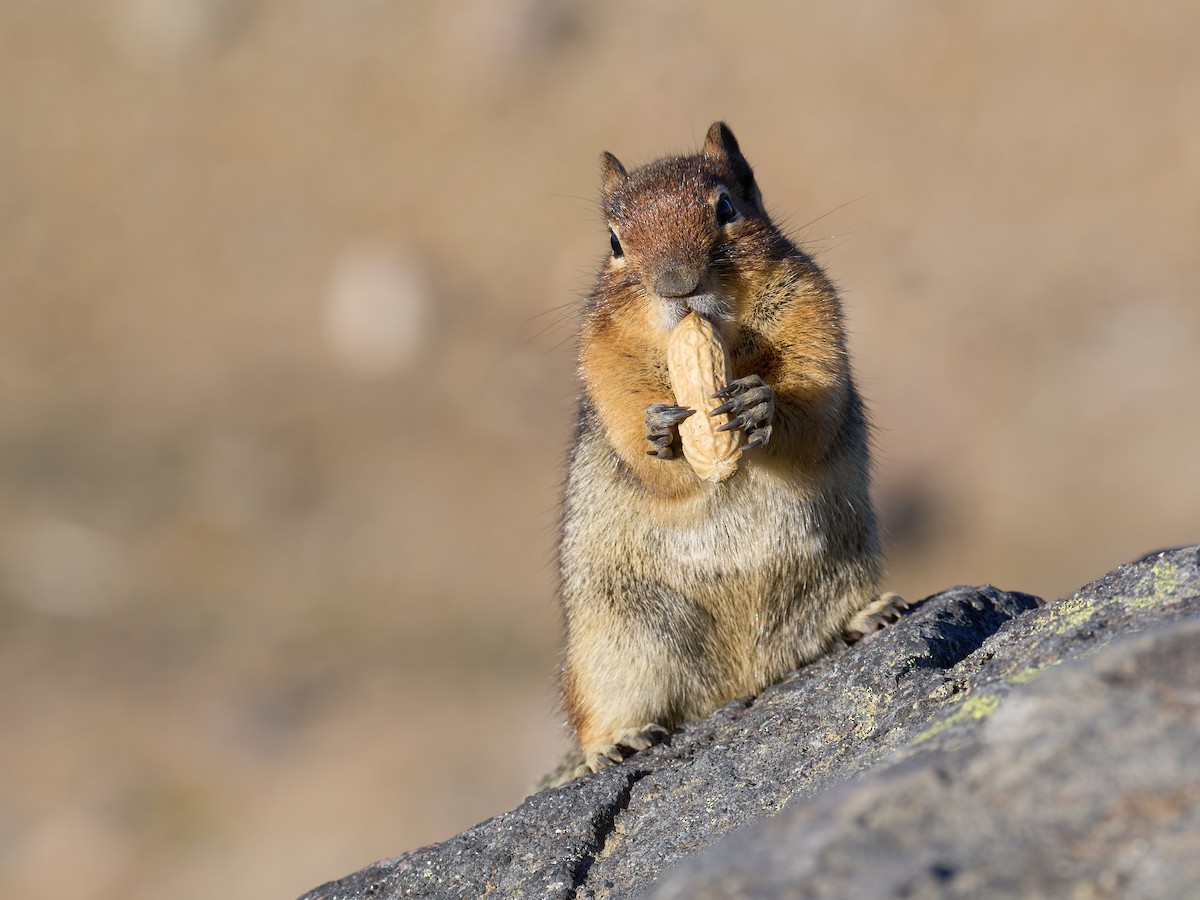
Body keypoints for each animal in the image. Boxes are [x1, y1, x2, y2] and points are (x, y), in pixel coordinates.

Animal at [544, 122, 903, 788]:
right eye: (614, 241)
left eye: (727, 208)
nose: (676, 285)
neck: (719, 340)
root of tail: (741, 683)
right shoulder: (604, 359)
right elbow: (636, 436)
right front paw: (660, 432)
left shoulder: (811, 311)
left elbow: (814, 399)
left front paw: (761, 406)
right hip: (612, 649)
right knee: (598, 715)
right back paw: (617, 744)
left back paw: (871, 615)